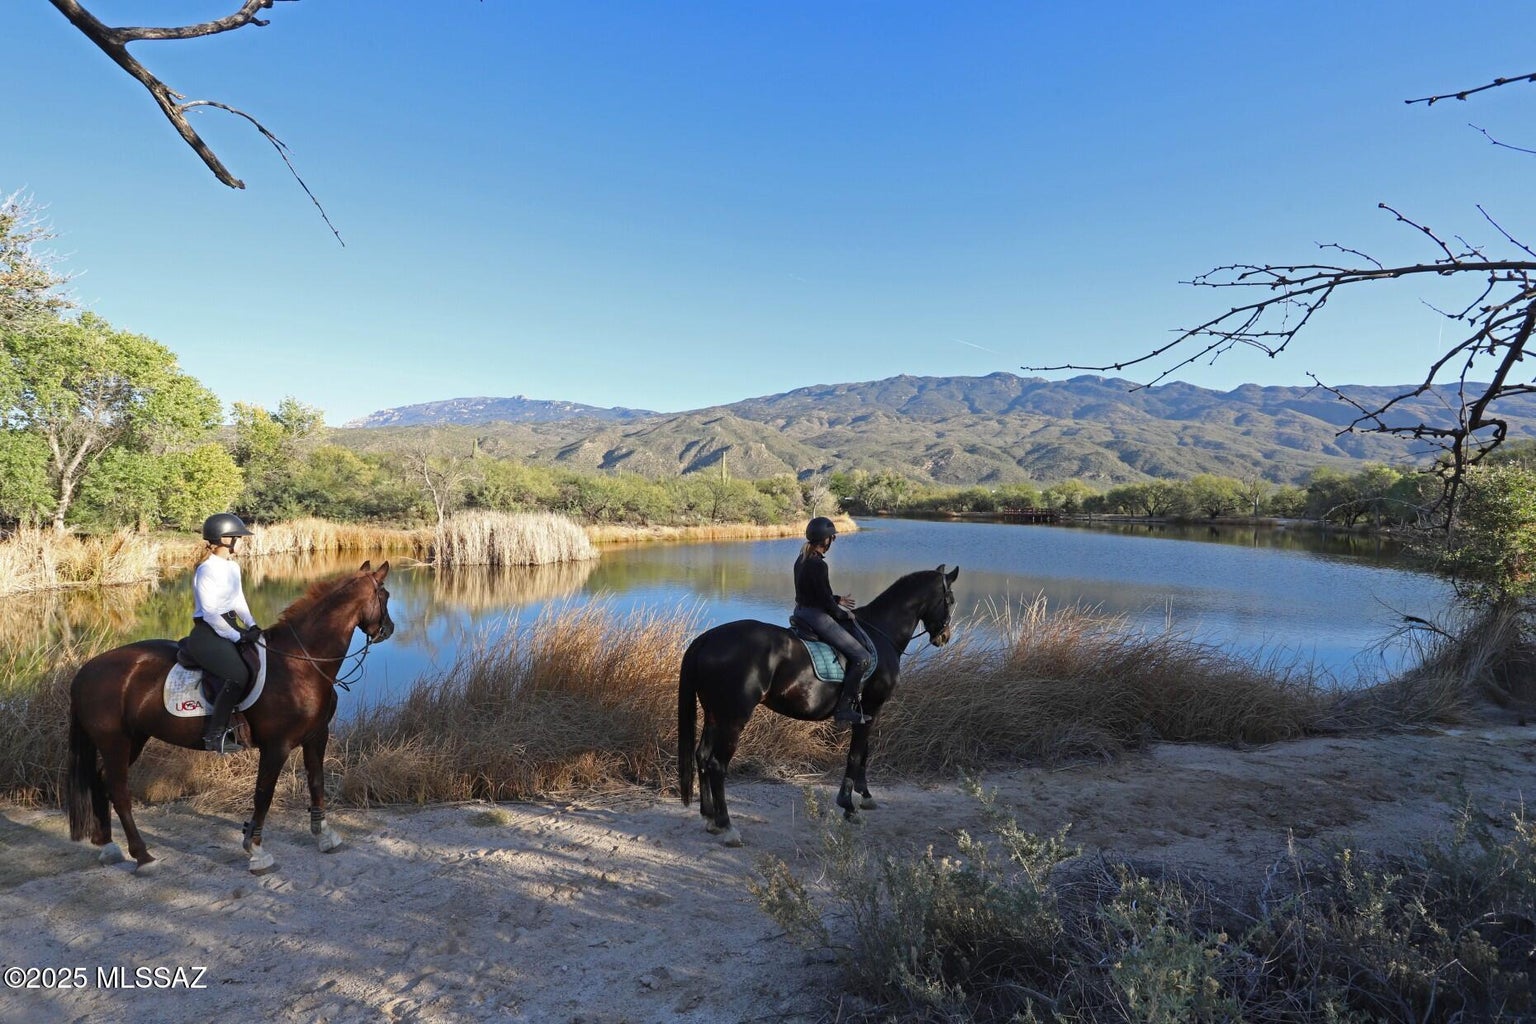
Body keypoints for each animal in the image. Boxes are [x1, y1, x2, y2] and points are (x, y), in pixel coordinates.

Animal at [65, 561, 395, 875]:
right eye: (386, 595)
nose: (389, 629)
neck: (301, 664)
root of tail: (87, 669)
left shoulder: (316, 737)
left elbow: (316, 782)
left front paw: (324, 835)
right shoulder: (277, 746)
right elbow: (263, 794)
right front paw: (256, 850)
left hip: (133, 739)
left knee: (101, 782)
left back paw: (109, 846)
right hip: (115, 742)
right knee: (119, 791)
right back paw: (143, 856)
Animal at [678, 564, 958, 845]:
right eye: (951, 600)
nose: (944, 637)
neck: (881, 633)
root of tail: (708, 638)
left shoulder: (866, 712)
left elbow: (864, 752)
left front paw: (865, 796)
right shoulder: (872, 707)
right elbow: (856, 754)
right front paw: (848, 806)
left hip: (714, 713)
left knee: (702, 756)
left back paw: (710, 818)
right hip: (733, 718)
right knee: (716, 765)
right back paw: (727, 826)